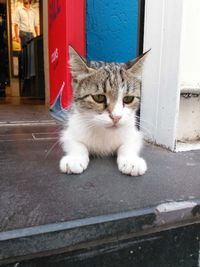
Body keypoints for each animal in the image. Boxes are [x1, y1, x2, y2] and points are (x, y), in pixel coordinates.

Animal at [59, 46, 148, 177]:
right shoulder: (70, 128)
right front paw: (75, 158)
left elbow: (128, 144)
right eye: (99, 97)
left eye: (128, 99)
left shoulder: (133, 132)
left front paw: (131, 160)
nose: (116, 117)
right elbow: (76, 143)